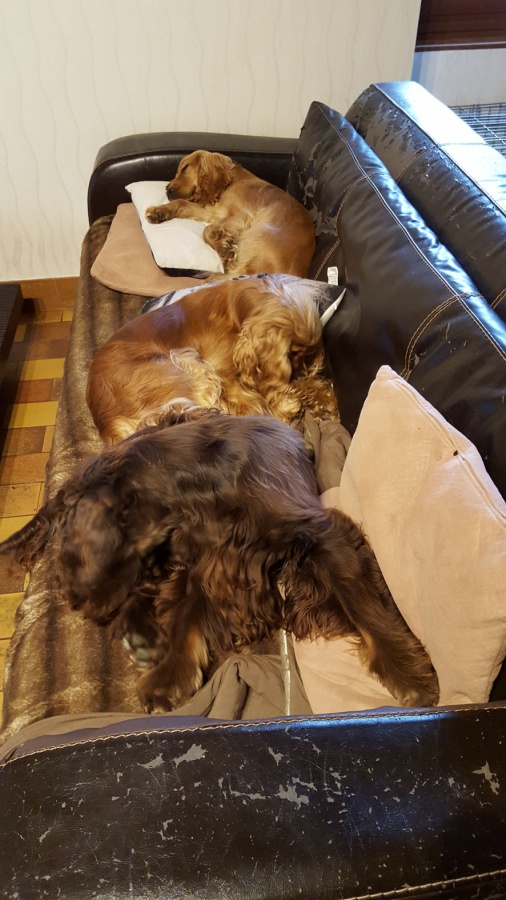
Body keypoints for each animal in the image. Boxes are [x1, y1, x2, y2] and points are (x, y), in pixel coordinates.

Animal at [0, 409, 439, 713]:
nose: (76, 601)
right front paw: (169, 677)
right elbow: (187, 615)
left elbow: (363, 605)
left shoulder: (319, 534)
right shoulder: (212, 561)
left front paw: (408, 673)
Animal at [86, 273, 341, 444]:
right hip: (186, 364)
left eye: (306, 354)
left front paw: (323, 398)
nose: (301, 372)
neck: (236, 312)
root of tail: (105, 423)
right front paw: (290, 405)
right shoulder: (226, 376)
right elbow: (260, 405)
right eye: (293, 353)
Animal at [145, 150, 315, 278]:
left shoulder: (242, 216)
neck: (231, 180)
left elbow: (206, 230)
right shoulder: (214, 210)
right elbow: (182, 204)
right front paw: (158, 212)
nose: (168, 190)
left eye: (185, 168)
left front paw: (224, 249)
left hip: (258, 231)